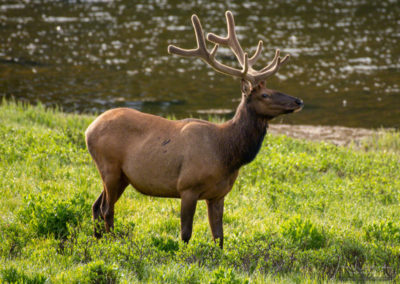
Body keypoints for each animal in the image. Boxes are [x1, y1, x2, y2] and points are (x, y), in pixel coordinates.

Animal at [85, 10, 304, 248]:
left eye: (273, 88)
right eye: (264, 94)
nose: (298, 100)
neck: (226, 153)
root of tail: (89, 129)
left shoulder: (219, 194)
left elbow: (219, 237)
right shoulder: (187, 187)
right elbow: (185, 234)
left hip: (123, 176)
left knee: (96, 206)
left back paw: (98, 242)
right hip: (109, 167)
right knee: (106, 209)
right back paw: (111, 244)